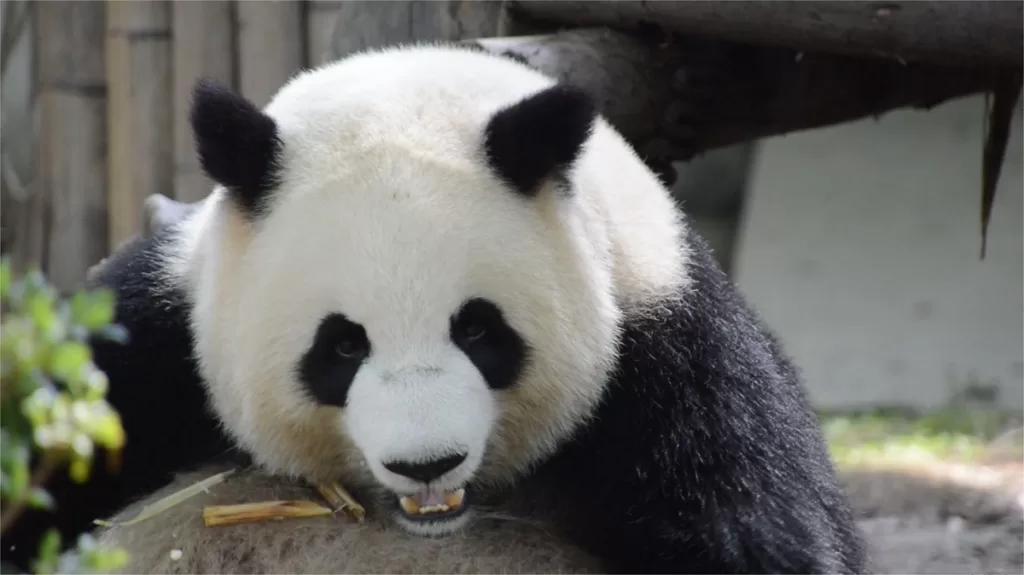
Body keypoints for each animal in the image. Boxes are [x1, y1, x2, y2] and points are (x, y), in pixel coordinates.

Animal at [5, 43, 868, 574]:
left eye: (479, 328)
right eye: (342, 345)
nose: (427, 464)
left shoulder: (669, 348)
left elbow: (750, 525)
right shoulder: (161, 332)